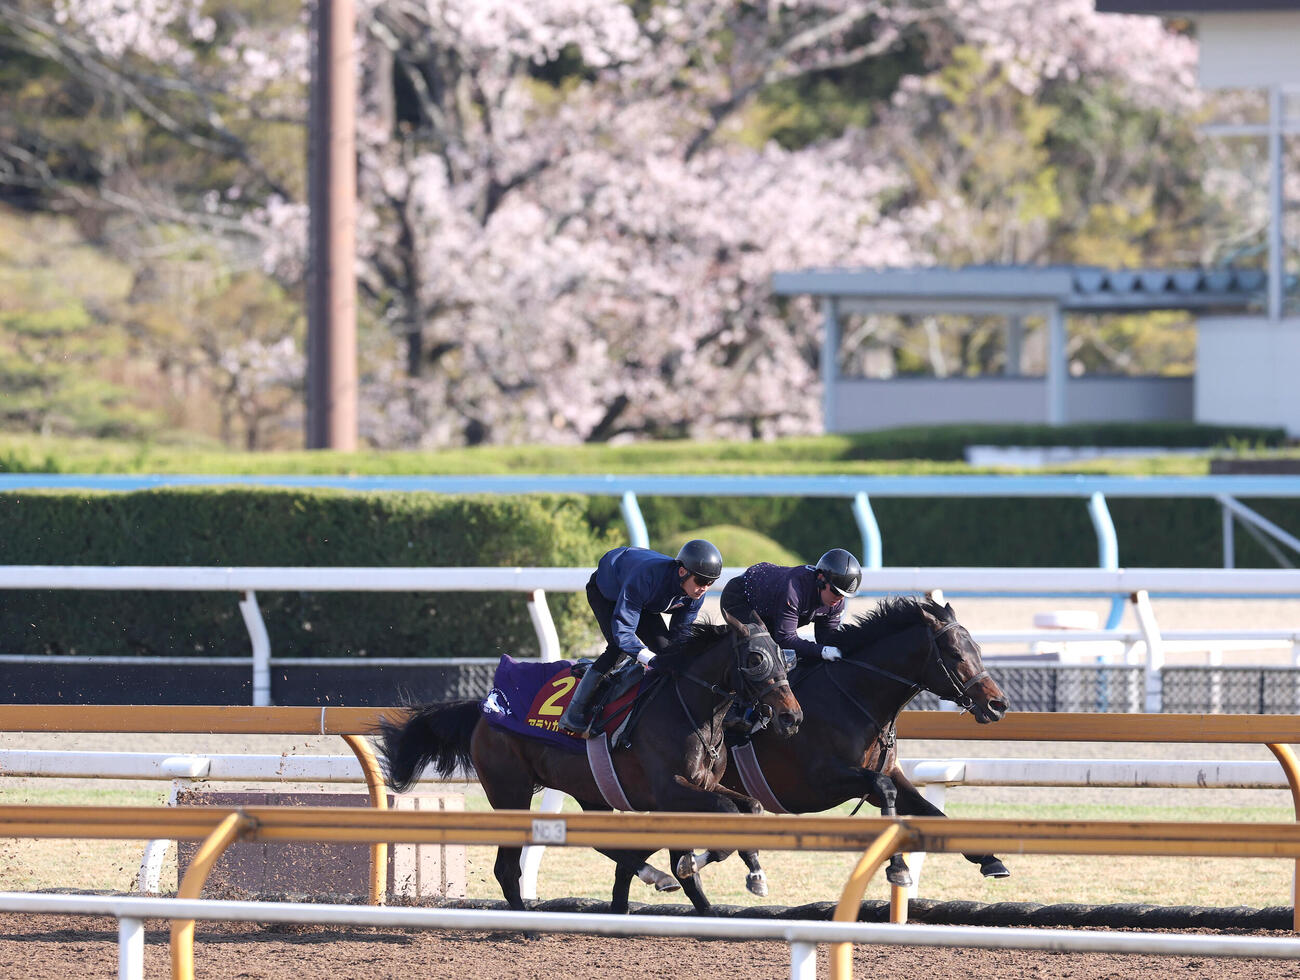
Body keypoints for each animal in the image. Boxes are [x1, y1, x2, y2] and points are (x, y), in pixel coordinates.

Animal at [373, 610, 803, 917]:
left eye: (785, 658)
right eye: (754, 658)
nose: (791, 717)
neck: (692, 711)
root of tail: (483, 706)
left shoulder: (702, 786)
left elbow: (749, 807)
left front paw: (753, 874)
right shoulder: (671, 789)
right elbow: (724, 816)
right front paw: (693, 865)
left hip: (587, 790)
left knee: (600, 840)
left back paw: (652, 875)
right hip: (511, 792)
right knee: (507, 869)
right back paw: (527, 924)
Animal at [669, 596, 1010, 895]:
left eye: (977, 649)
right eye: (954, 653)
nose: (998, 704)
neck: (855, 696)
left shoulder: (886, 774)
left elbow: (931, 812)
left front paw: (990, 860)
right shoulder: (820, 782)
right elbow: (885, 789)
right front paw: (897, 867)